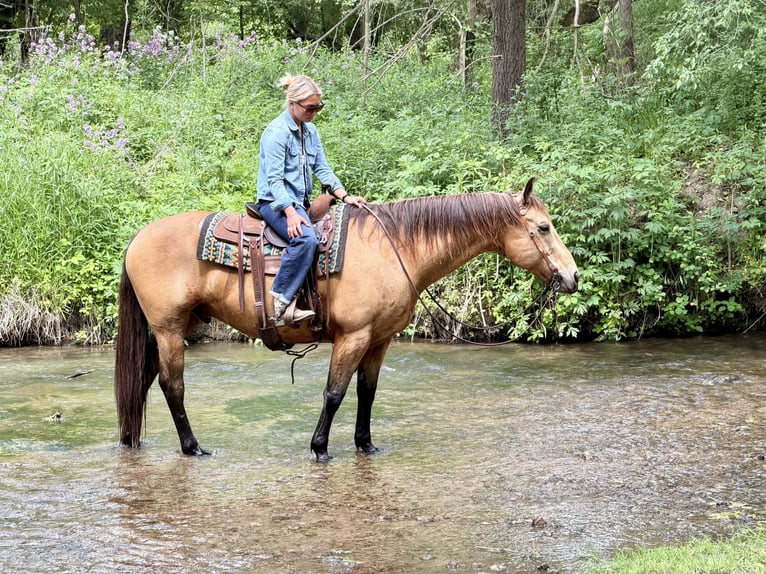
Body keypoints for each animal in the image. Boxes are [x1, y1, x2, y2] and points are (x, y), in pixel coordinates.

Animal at [114, 179, 579, 461]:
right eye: (544, 227)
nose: (573, 276)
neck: (396, 248)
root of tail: (136, 239)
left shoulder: (379, 339)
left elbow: (367, 393)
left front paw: (366, 445)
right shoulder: (353, 336)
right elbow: (334, 393)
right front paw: (320, 448)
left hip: (174, 328)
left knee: (142, 380)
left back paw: (131, 439)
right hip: (170, 329)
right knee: (172, 386)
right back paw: (192, 447)